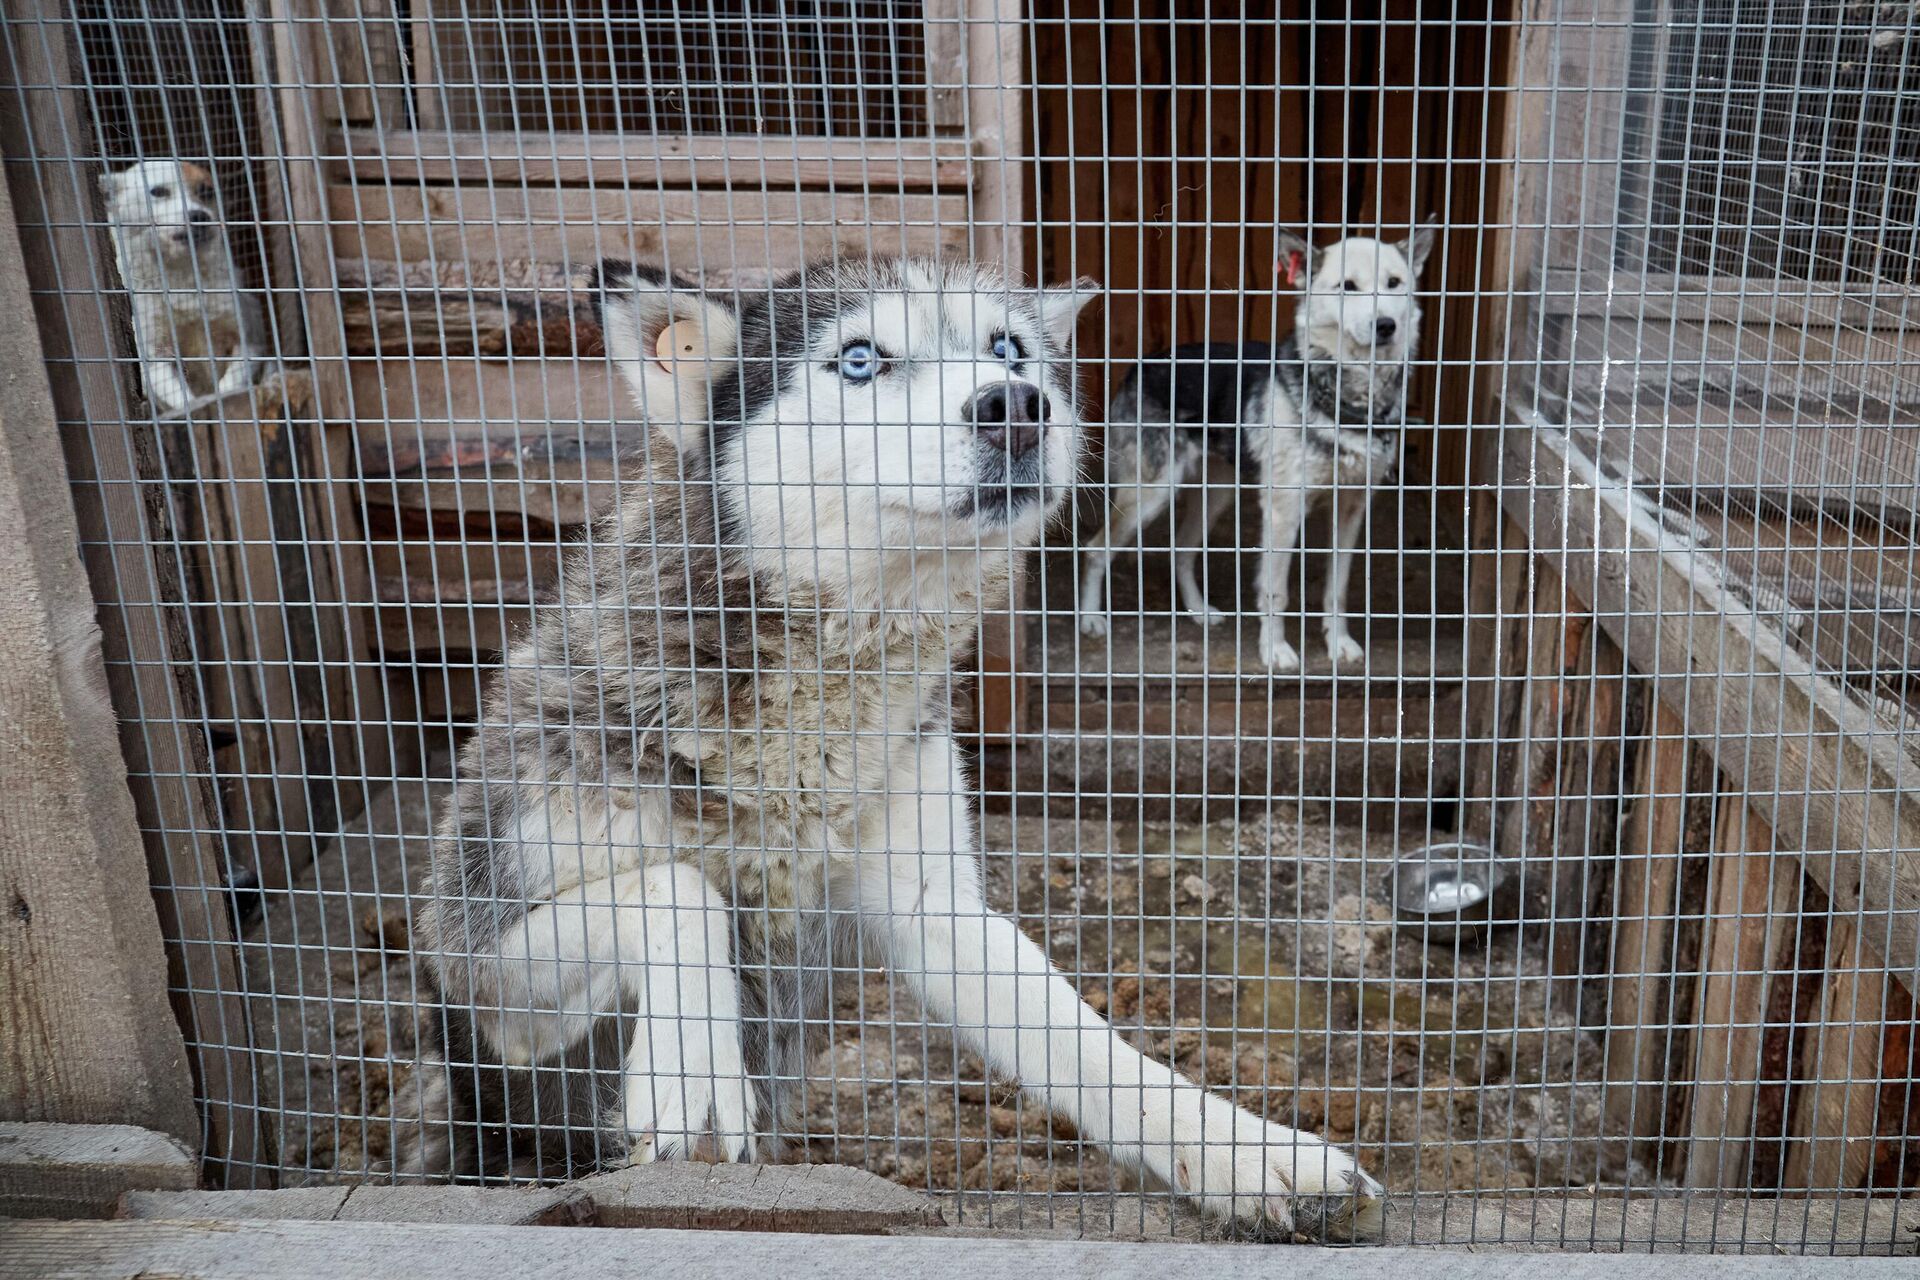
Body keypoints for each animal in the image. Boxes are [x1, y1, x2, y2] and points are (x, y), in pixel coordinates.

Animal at [101, 157, 264, 412]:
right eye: (158, 192)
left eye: (206, 191)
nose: (200, 216)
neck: (182, 274)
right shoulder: (156, 359)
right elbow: (187, 402)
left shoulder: (248, 341)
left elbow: (228, 387)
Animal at [393, 253, 1382, 1243]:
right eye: (860, 359)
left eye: (1007, 348)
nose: (1015, 405)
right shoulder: (472, 955)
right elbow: (676, 890)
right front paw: (693, 1071)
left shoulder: (940, 911)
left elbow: (1097, 1049)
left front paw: (1251, 1154)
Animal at [1075, 226, 1436, 675]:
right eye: (1348, 287)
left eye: (1394, 283)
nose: (1385, 325)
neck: (1347, 400)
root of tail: (1143, 363)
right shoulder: (1283, 510)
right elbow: (1275, 590)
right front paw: (1275, 650)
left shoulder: (1351, 509)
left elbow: (1337, 588)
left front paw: (1339, 644)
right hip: (1152, 494)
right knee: (1095, 550)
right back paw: (1091, 618)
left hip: (1216, 494)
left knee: (1181, 549)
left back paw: (1198, 611)